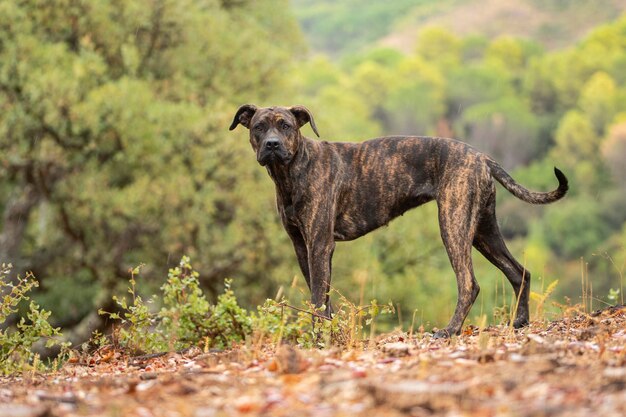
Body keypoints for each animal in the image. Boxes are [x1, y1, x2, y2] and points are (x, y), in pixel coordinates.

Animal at [228, 105, 564, 338]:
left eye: (285, 125)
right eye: (259, 127)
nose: (272, 144)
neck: (293, 170)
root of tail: (481, 157)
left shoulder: (319, 245)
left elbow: (318, 297)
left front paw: (318, 336)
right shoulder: (302, 246)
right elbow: (320, 296)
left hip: (454, 224)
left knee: (469, 283)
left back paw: (449, 330)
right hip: (483, 229)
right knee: (519, 272)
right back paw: (520, 322)